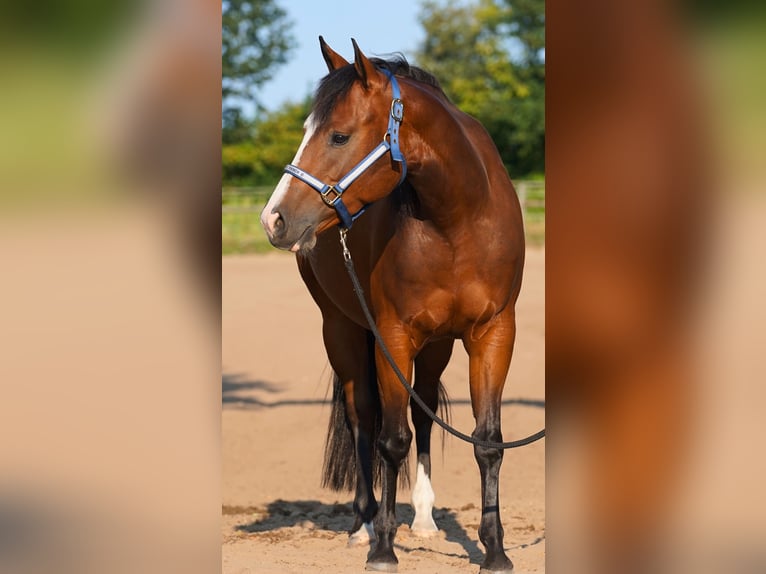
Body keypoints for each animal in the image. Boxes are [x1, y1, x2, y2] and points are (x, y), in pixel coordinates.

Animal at [260, 38, 525, 573]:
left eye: (339, 136)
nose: (273, 218)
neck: (458, 220)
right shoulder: (394, 335)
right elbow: (390, 438)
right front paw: (382, 547)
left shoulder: (493, 333)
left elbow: (487, 441)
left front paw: (495, 550)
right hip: (341, 329)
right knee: (362, 416)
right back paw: (362, 525)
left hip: (437, 344)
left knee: (422, 412)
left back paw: (423, 518)